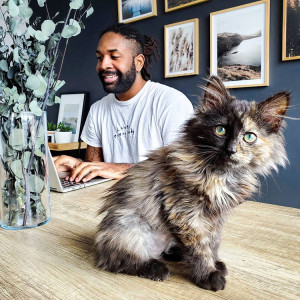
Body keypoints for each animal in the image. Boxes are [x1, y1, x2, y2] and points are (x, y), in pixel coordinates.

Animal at [95, 76, 290, 292]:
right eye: (220, 130)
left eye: (249, 137)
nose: (231, 150)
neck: (221, 175)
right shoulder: (184, 212)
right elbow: (200, 248)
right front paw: (209, 275)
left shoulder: (216, 217)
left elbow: (213, 243)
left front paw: (216, 263)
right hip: (130, 229)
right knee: (120, 260)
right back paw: (157, 269)